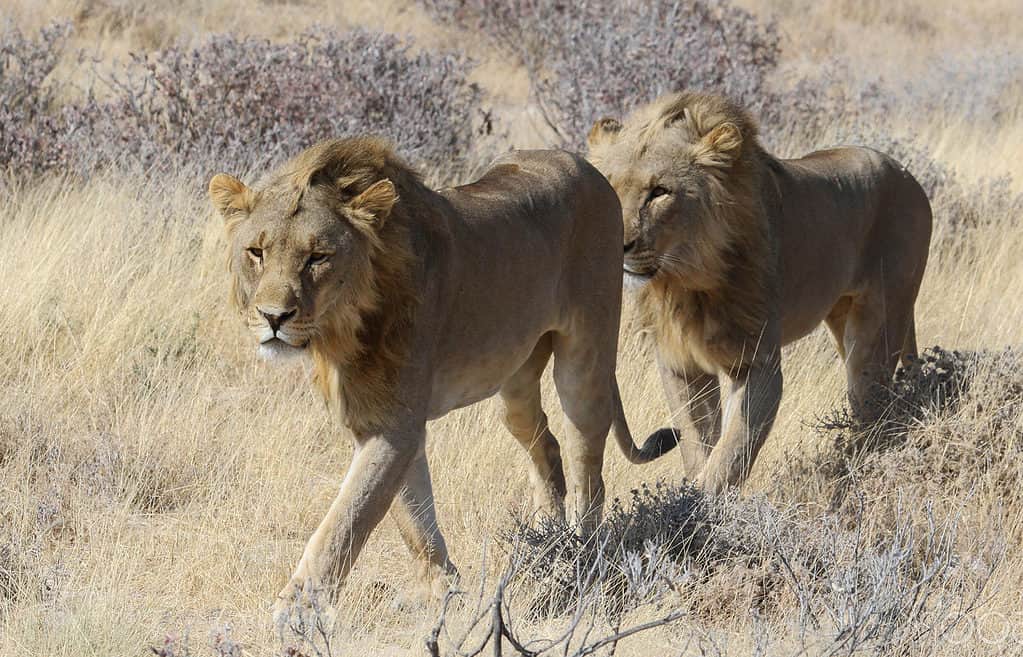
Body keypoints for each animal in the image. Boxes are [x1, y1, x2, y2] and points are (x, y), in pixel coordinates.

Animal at [207, 134, 671, 614]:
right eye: (256, 252)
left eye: (318, 257)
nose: (273, 316)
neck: (342, 329)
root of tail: (584, 165)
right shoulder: (377, 421)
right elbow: (412, 514)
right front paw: (442, 590)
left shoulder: (396, 425)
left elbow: (348, 519)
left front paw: (296, 609)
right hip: (516, 385)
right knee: (545, 442)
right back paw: (549, 540)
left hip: (585, 360)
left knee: (587, 464)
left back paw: (583, 555)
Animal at [589, 91, 932, 491]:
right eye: (609, 189)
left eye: (659, 192)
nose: (617, 246)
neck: (686, 282)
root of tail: (907, 174)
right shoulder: (680, 366)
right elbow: (699, 445)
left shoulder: (758, 362)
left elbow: (730, 453)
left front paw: (696, 501)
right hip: (841, 315)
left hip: (878, 327)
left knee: (872, 407)